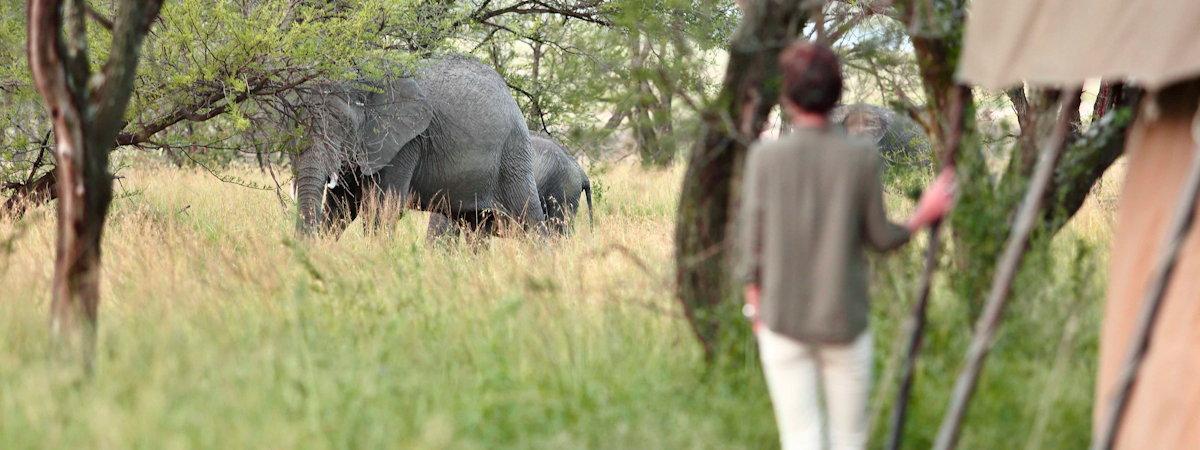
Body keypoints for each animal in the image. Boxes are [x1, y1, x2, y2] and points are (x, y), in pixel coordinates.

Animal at [295, 56, 544, 237]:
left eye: (344, 125)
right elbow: (342, 206)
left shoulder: (406, 142)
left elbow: (383, 209)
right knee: (473, 223)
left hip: (513, 154)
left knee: (528, 219)